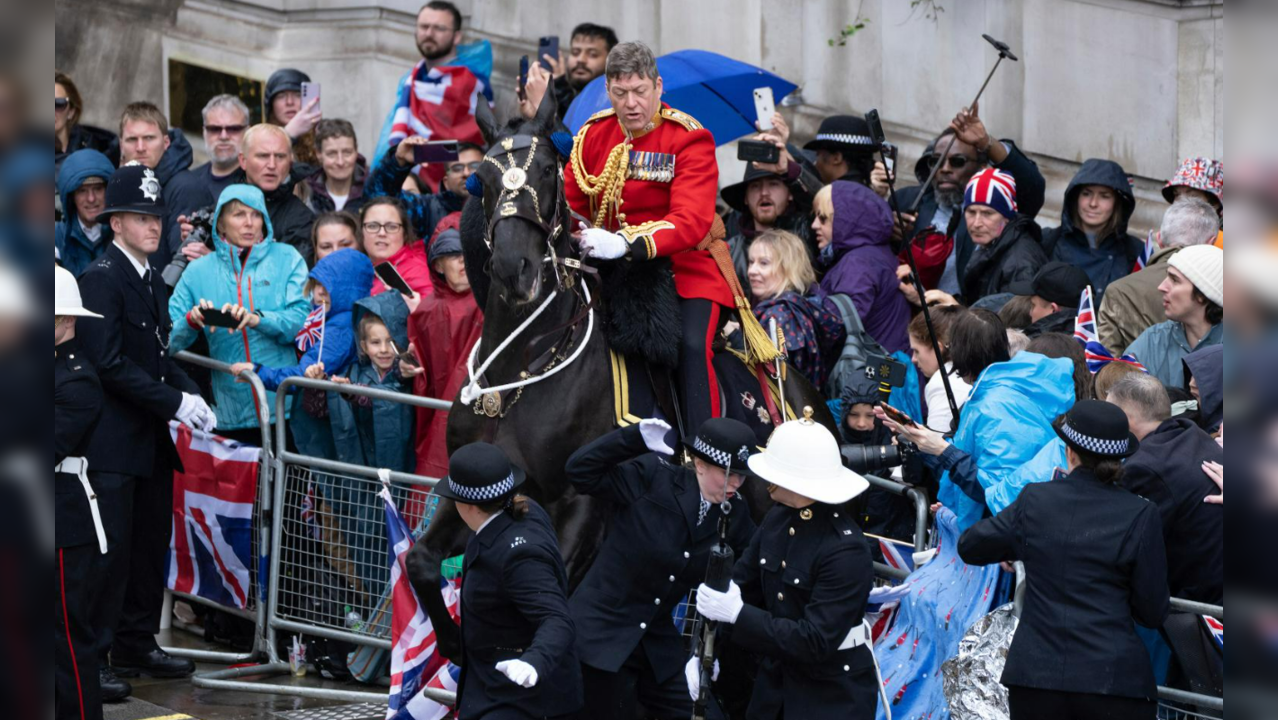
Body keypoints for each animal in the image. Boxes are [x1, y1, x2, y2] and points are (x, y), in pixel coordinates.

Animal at [403, 88, 833, 598]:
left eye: (546, 168)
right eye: (483, 178)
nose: (514, 269)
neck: (523, 370)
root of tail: (809, 404)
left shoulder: (584, 509)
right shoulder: (471, 489)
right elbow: (421, 561)